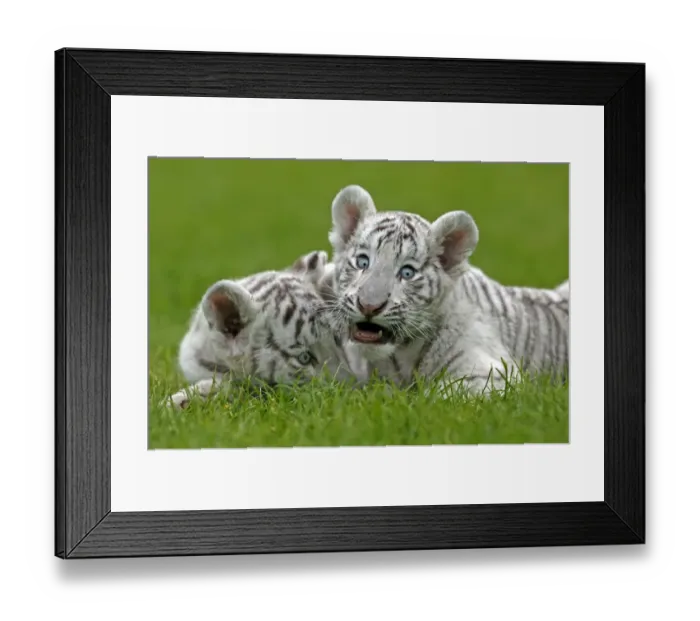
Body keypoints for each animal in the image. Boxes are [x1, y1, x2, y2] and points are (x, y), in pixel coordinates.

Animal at [325, 184, 569, 397]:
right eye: (362, 262)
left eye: (407, 273)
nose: (368, 306)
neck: (397, 358)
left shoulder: (492, 374)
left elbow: (439, 394)